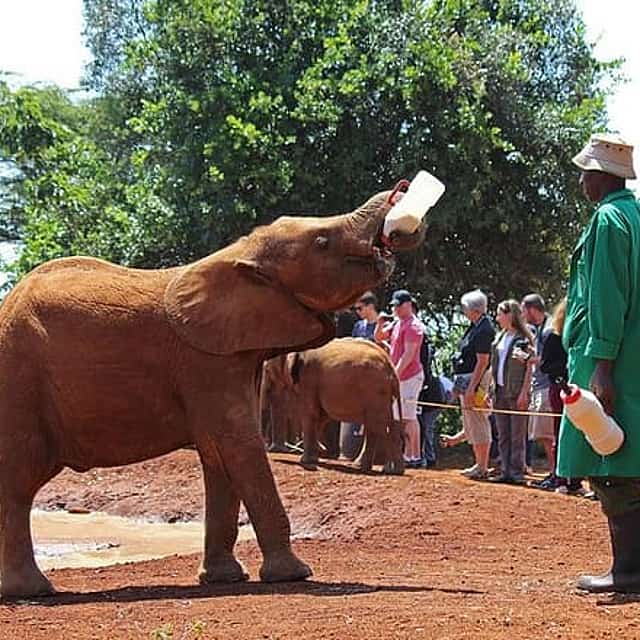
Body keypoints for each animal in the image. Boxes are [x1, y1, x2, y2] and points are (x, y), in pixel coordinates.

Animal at [264, 338, 404, 474]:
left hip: (374, 391)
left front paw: (306, 461)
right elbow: (321, 417)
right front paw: (315, 457)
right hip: (380, 395)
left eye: (267, 369)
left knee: (379, 425)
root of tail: (391, 369)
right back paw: (366, 467)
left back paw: (391, 470)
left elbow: (311, 414)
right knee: (376, 425)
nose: (271, 449)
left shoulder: (309, 378)